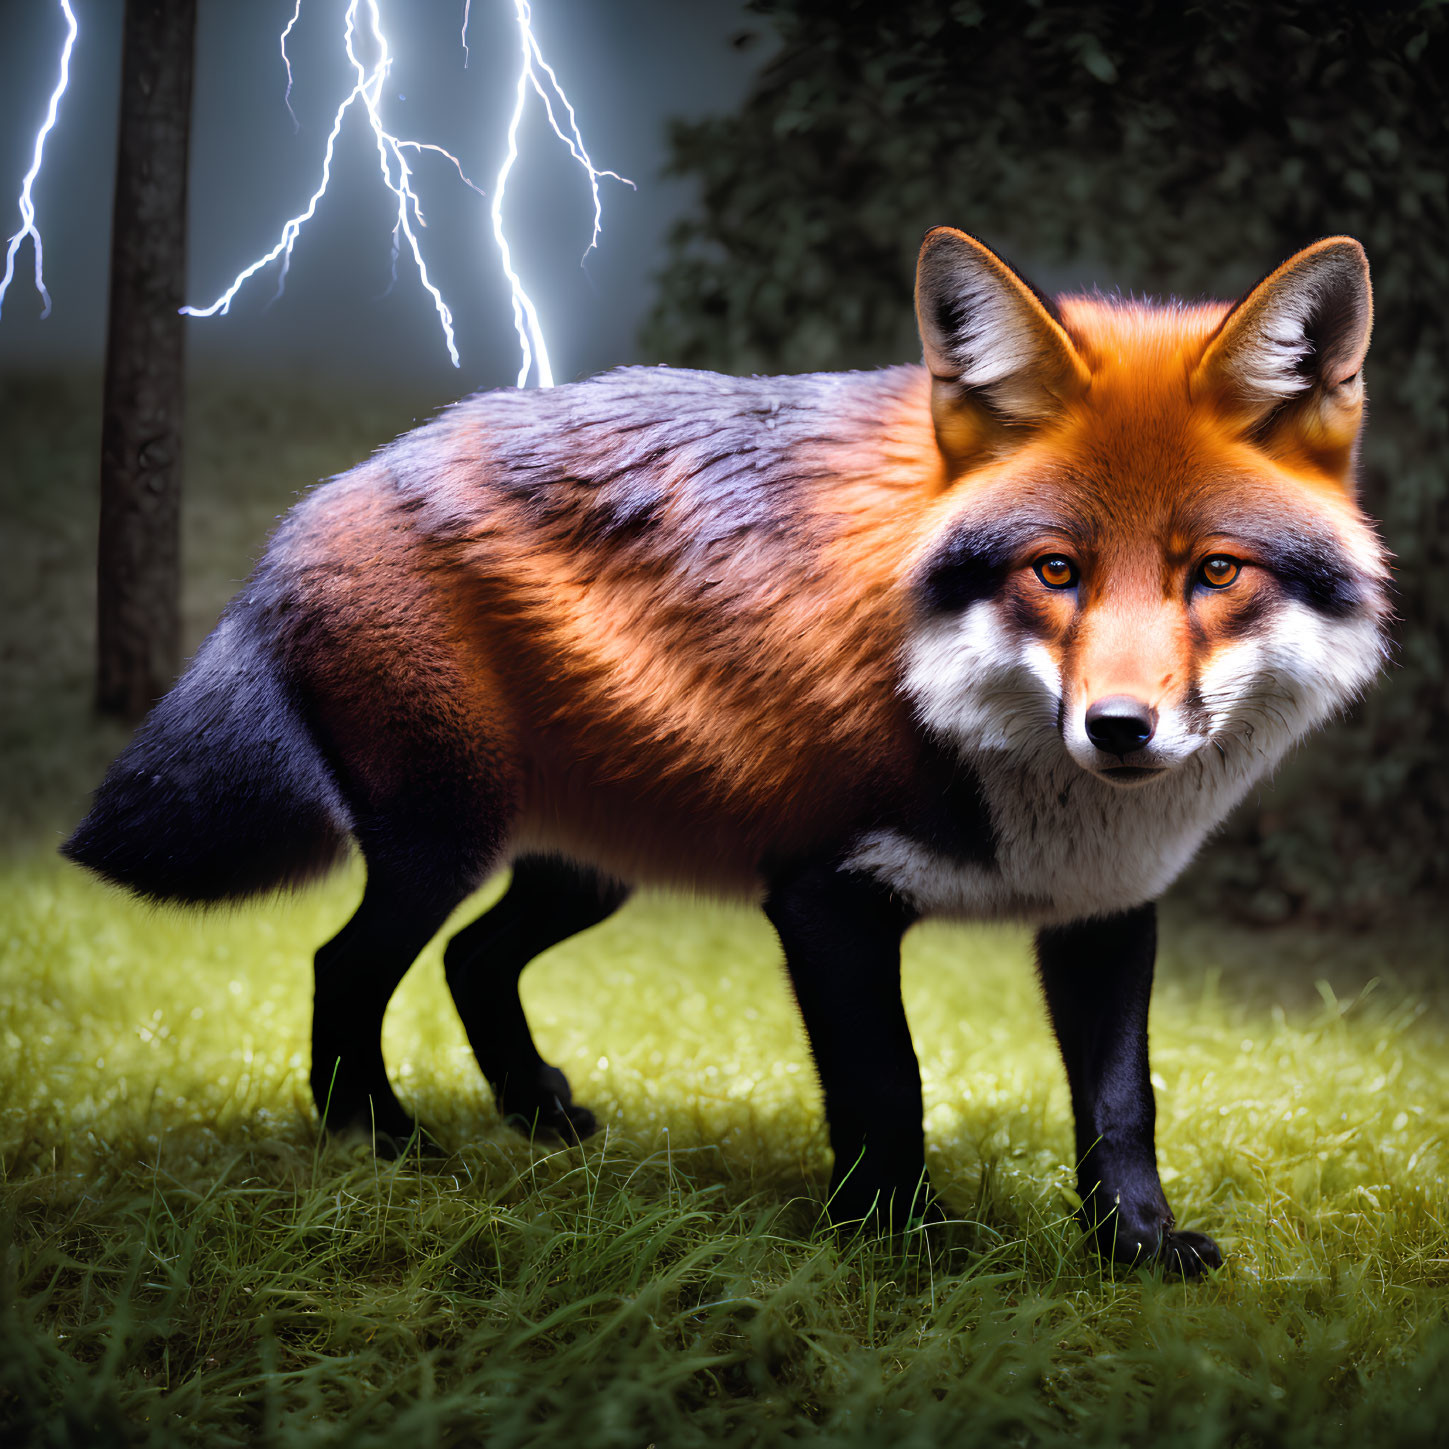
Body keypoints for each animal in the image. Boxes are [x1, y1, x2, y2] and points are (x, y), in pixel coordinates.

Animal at [62, 223, 1385, 1269]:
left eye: (1216, 573)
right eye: (1053, 571)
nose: (1118, 730)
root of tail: (332, 495)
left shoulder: (1107, 907)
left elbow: (1122, 1105)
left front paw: (1135, 1252)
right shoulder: (826, 896)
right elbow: (888, 1089)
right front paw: (896, 1250)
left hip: (583, 869)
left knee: (473, 962)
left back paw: (537, 1118)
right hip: (444, 845)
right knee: (347, 967)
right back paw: (378, 1139)